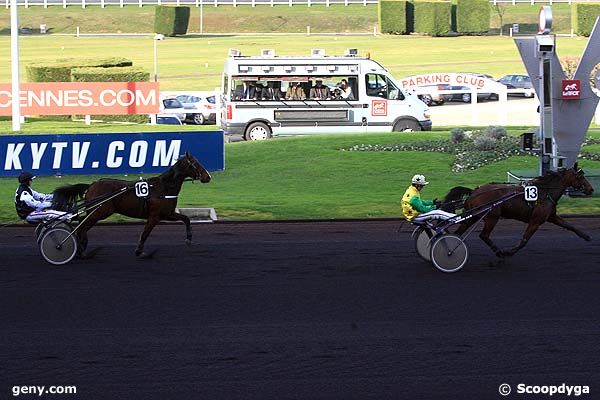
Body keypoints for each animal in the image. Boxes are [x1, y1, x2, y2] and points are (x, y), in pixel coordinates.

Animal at [54, 152, 212, 258]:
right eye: (195, 163)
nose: (208, 177)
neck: (164, 187)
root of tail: (92, 185)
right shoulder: (155, 216)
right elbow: (145, 233)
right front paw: (139, 251)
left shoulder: (167, 214)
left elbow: (186, 219)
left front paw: (189, 239)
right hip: (100, 212)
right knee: (82, 227)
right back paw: (80, 250)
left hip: (96, 212)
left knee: (81, 223)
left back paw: (81, 245)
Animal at [442, 164, 592, 258]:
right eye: (580, 177)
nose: (591, 189)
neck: (545, 192)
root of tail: (474, 192)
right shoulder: (535, 221)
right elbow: (524, 240)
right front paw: (508, 252)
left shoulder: (551, 217)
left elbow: (570, 226)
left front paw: (586, 236)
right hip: (491, 217)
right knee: (483, 235)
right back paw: (499, 252)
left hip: (473, 216)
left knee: (458, 233)